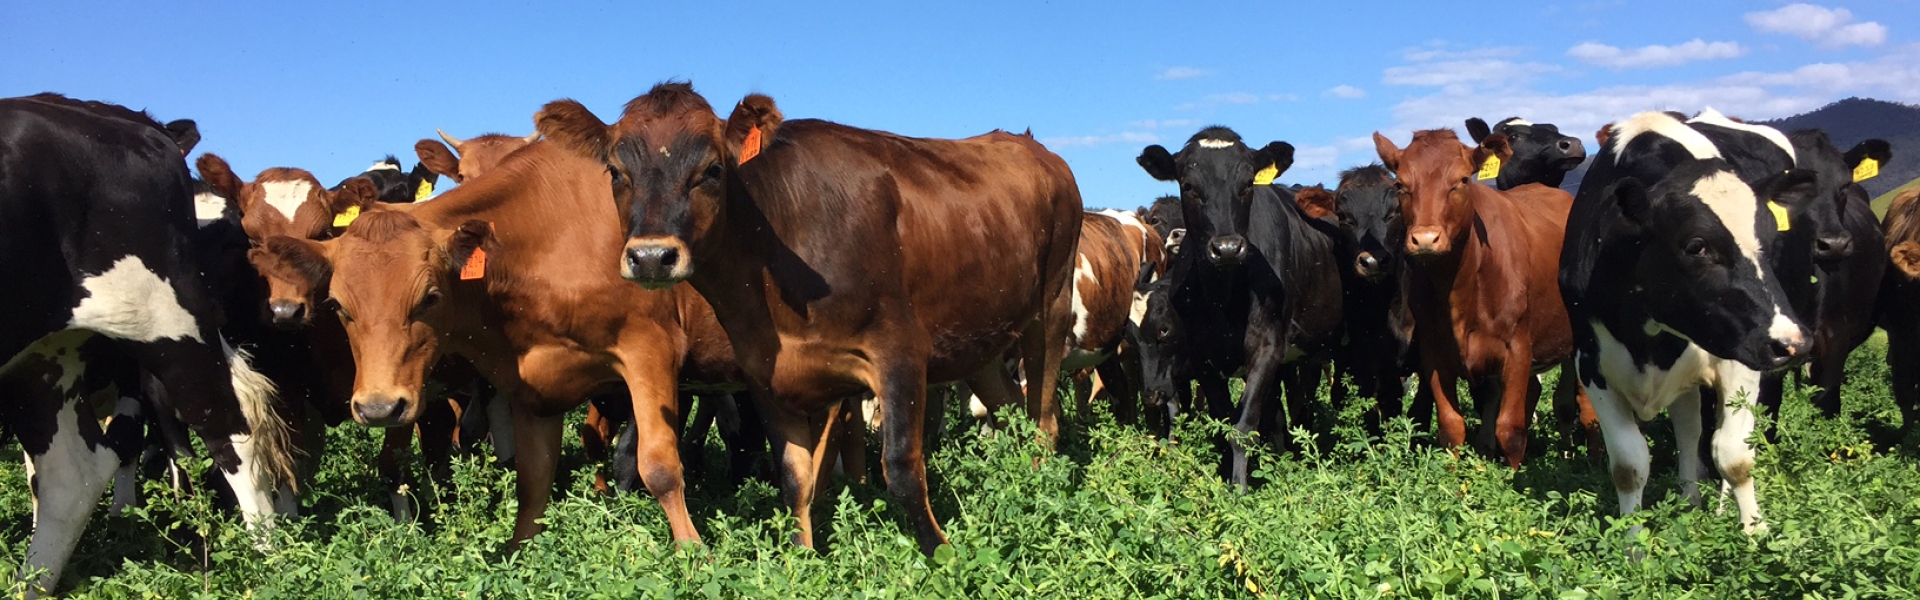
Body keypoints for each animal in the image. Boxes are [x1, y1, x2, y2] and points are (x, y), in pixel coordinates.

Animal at [0, 93, 294, 595]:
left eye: (235, 238)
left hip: (164, 328)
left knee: (231, 432)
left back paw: (266, 563)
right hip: (44, 357)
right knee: (69, 477)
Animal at [534, 81, 1083, 555]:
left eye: (713, 169)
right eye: (615, 171)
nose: (651, 257)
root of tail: (1033, 146)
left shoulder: (902, 354)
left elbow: (903, 468)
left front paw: (943, 554)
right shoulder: (767, 375)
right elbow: (795, 476)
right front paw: (802, 556)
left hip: (1051, 309)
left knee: (1044, 416)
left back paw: (1038, 486)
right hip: (981, 339)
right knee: (1011, 408)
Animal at [1134, 127, 1345, 486]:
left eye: (1247, 184)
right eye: (1188, 185)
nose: (1227, 248)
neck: (1225, 297)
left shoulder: (1268, 347)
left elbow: (1243, 425)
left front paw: (1240, 487)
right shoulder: (1203, 357)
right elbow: (1223, 420)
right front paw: (1225, 476)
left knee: (1301, 401)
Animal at [1563, 108, 1817, 534]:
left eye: (1771, 242)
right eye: (1697, 246)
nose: (1793, 343)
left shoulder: (1740, 355)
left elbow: (1734, 456)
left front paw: (1755, 533)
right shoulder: (1592, 363)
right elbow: (1630, 465)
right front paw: (1632, 541)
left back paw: (1719, 507)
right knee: (1688, 428)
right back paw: (1689, 501)